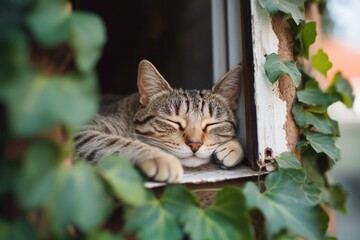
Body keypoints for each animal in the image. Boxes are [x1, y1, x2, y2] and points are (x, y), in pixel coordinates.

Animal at [75, 60, 245, 182]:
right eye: (174, 122)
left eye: (212, 124)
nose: (195, 145)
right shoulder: (80, 130)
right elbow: (116, 142)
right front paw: (159, 157)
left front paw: (233, 148)